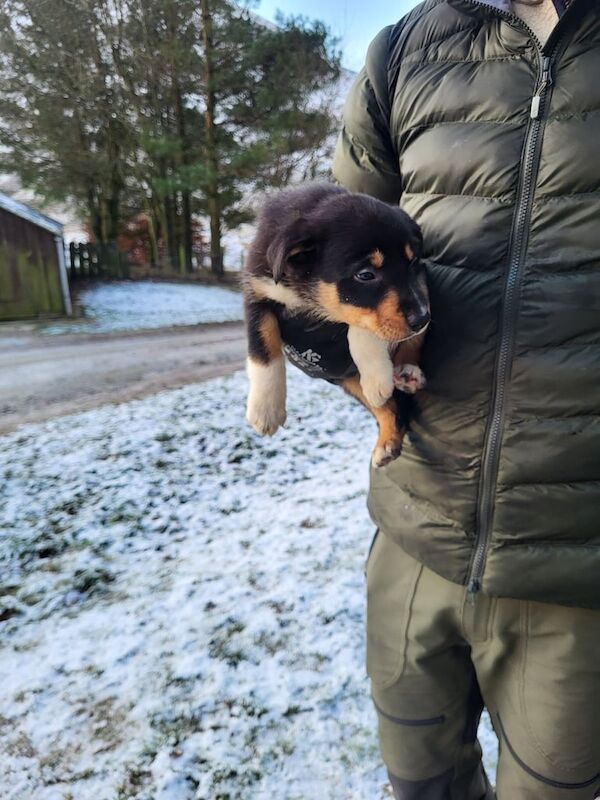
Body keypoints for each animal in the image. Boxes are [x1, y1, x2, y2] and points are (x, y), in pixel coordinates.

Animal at [241, 181, 428, 468]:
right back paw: (387, 440)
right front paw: (265, 410)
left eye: (412, 263)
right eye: (365, 274)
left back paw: (406, 372)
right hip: (345, 379)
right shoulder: (257, 291)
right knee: (390, 409)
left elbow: (361, 325)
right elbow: (262, 349)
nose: (422, 319)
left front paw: (377, 376)